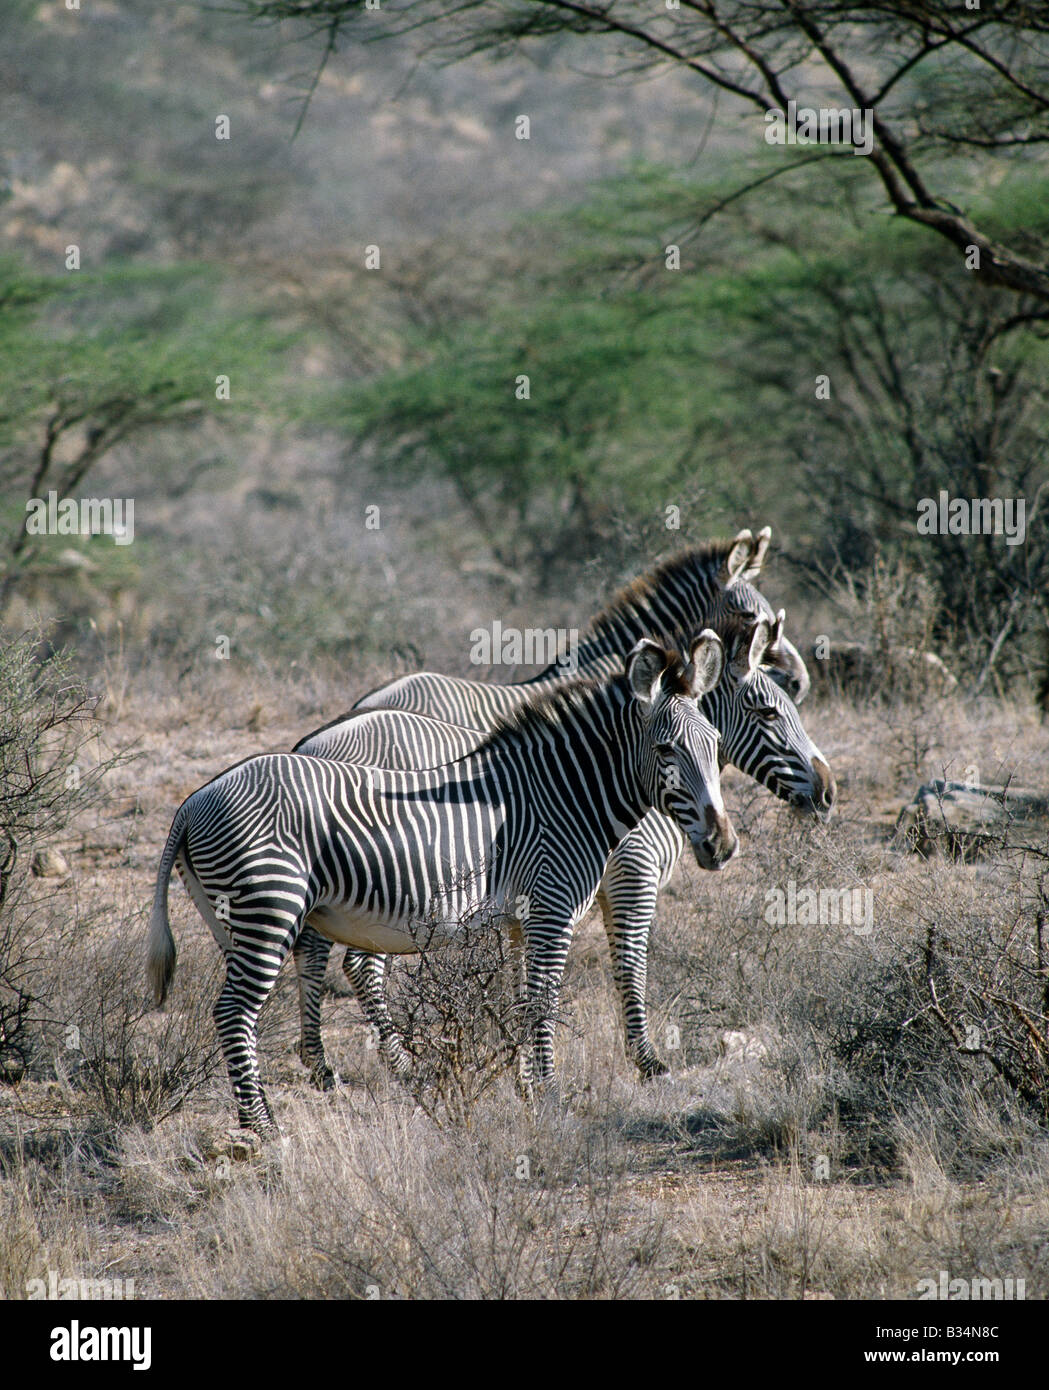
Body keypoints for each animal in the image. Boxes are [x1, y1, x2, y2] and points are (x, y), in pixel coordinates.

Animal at [150, 636, 739, 1134]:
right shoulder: (551, 910)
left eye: (713, 744)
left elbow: (522, 1002)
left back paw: (264, 1113)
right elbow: (543, 1002)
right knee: (234, 1012)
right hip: (270, 907)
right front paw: (552, 1098)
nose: (722, 843)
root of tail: (192, 802)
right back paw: (264, 1129)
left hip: (236, 922)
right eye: (666, 750)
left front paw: (528, 1092)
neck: (564, 796)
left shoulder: (520, 922)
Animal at [291, 608, 833, 1084]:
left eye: (715, 739)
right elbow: (629, 965)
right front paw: (647, 1062)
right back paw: (365, 1065)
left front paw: (519, 1064)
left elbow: (525, 981)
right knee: (345, 960)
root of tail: (311, 741)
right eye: (767, 711)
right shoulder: (631, 876)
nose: (829, 792)